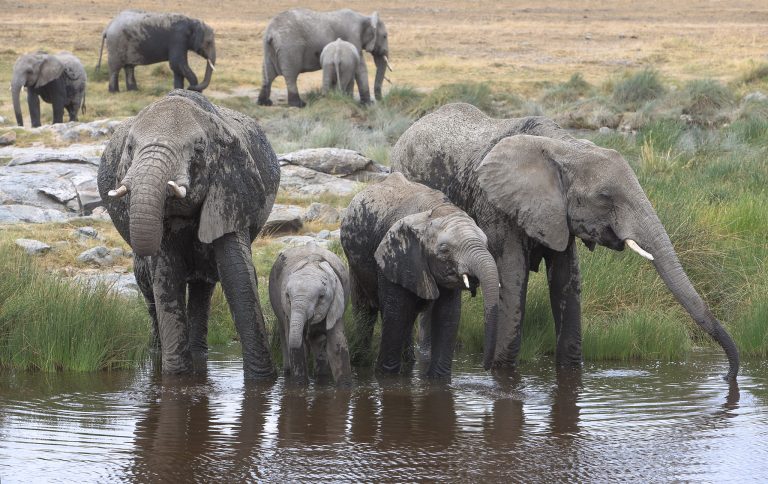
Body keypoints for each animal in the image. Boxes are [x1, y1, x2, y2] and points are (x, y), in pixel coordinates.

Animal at [97, 89, 280, 379]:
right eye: (130, 148)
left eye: (198, 150)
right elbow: (166, 277)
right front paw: (177, 381)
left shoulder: (230, 189)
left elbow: (237, 276)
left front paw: (263, 382)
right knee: (148, 287)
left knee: (203, 287)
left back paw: (198, 354)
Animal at [257, 8, 392, 107]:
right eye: (385, 36)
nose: (381, 100)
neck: (365, 18)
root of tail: (270, 32)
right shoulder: (352, 36)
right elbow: (360, 68)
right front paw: (368, 105)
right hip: (289, 48)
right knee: (291, 75)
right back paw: (299, 104)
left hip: (268, 47)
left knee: (267, 73)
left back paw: (264, 103)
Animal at [269, 242, 352, 384]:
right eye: (288, 296)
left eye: (321, 297)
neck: (312, 262)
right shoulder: (287, 311)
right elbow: (297, 351)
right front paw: (299, 385)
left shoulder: (336, 307)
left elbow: (336, 346)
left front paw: (345, 385)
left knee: (318, 343)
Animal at [340, 173, 500, 377]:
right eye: (444, 249)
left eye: (486, 244)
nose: (486, 367)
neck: (437, 211)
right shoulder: (394, 257)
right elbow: (395, 313)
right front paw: (386, 377)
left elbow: (448, 316)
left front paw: (438, 379)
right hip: (354, 261)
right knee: (366, 310)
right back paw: (361, 360)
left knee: (409, 316)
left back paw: (409, 361)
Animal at [391, 102, 739, 381]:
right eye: (605, 196)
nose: (728, 375)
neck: (565, 147)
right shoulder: (496, 206)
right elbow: (512, 281)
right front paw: (502, 375)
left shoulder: (559, 217)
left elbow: (566, 281)